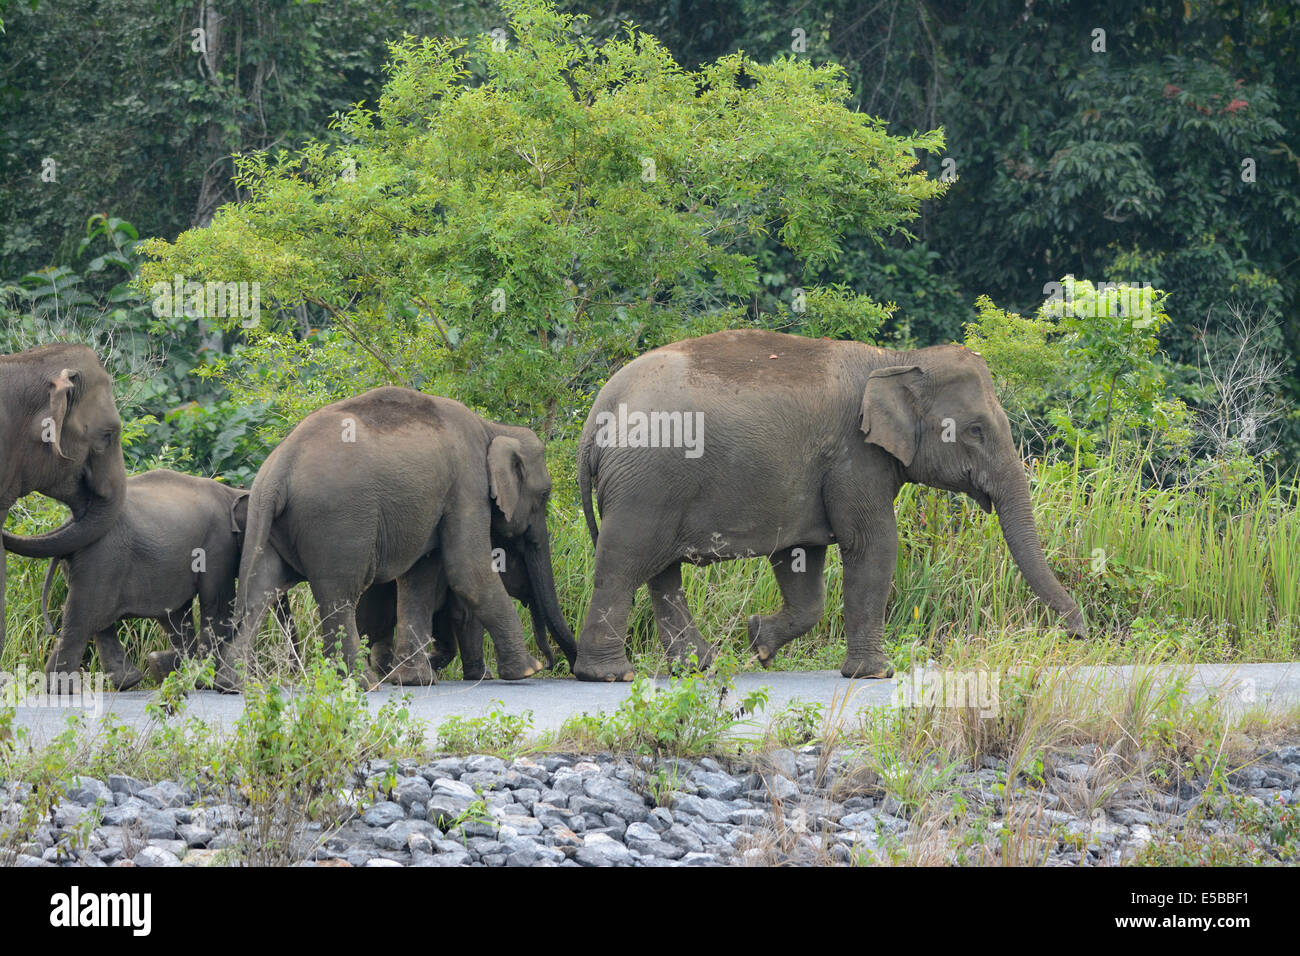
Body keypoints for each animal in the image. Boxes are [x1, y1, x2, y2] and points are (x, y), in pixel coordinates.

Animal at [38, 470, 294, 690]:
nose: (293, 671)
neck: (232, 492)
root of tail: (68, 524)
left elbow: (177, 616)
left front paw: (168, 667)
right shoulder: (218, 544)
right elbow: (218, 607)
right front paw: (199, 678)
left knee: (98, 622)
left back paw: (128, 681)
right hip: (101, 560)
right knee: (83, 620)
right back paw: (60, 690)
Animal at [572, 328, 1087, 682]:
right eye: (976, 430)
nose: (1080, 635)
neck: (896, 361)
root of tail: (598, 413)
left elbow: (800, 562)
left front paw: (759, 641)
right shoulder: (854, 456)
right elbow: (873, 544)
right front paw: (875, 673)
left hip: (654, 484)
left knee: (661, 572)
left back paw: (699, 667)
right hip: (647, 482)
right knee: (625, 561)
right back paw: (610, 675)